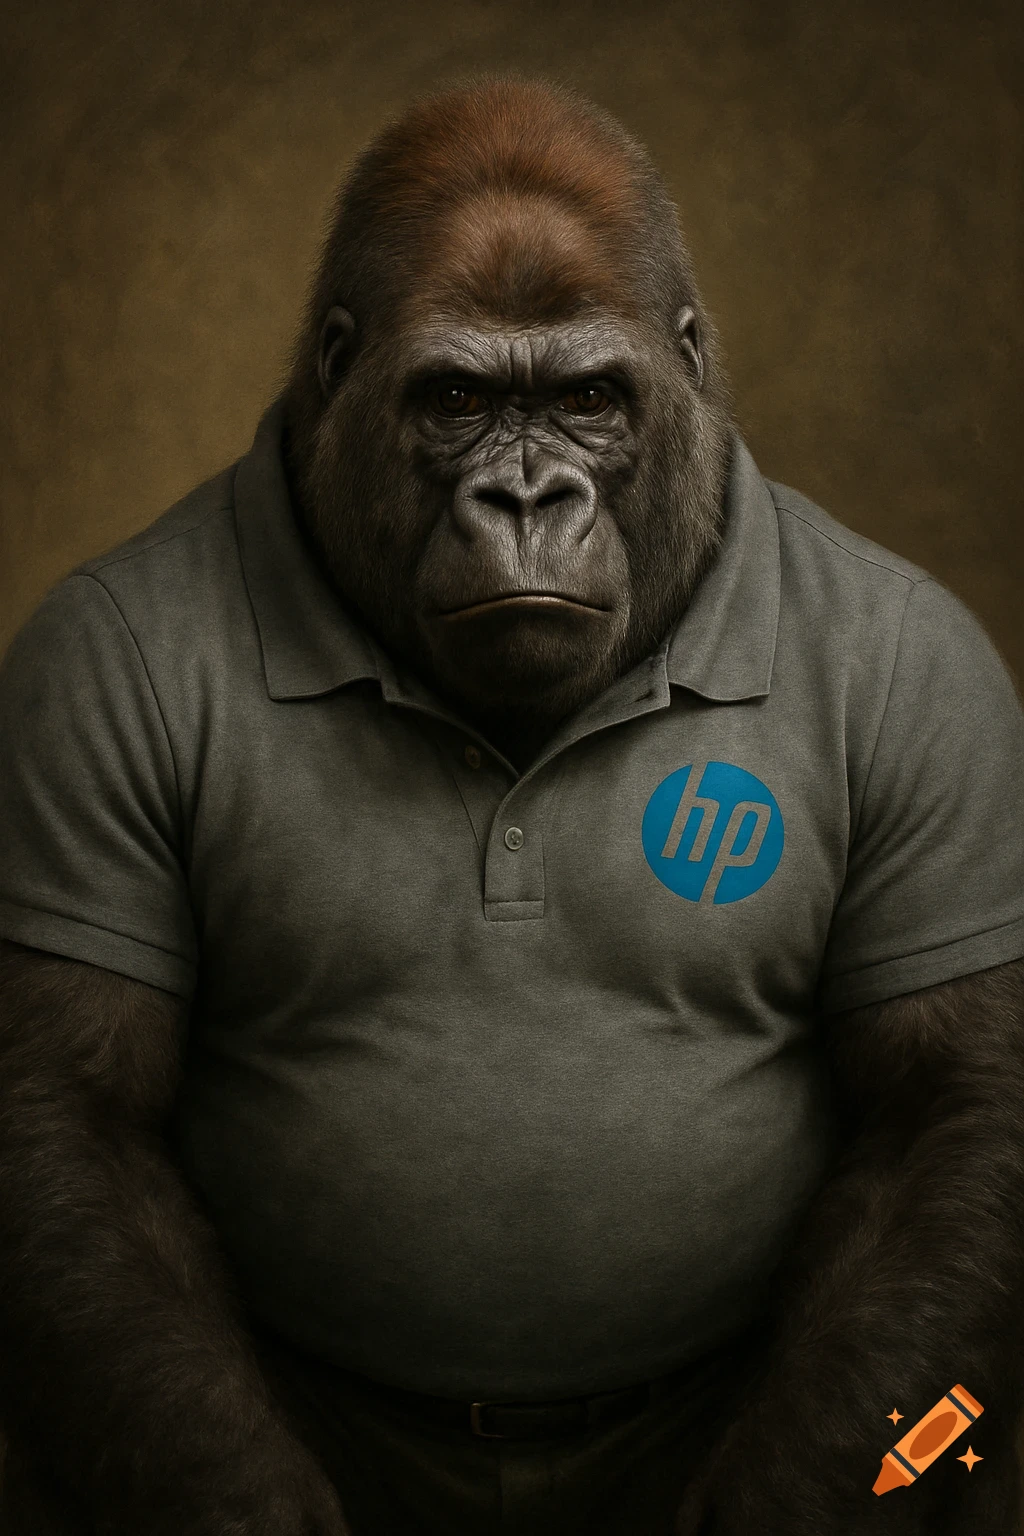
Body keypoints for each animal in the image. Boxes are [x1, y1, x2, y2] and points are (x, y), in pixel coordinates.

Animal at [0, 74, 1023, 1536]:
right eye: (457, 398)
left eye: (589, 397)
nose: (529, 495)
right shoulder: (79, 679)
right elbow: (72, 1108)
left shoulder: (935, 676)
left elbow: (945, 1105)